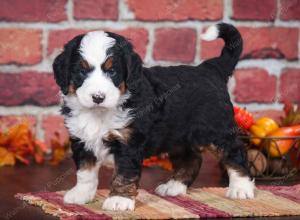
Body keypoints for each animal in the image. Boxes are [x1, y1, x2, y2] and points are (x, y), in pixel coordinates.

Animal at [52, 22, 254, 211]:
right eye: (81, 71)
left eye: (112, 71)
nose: (98, 97)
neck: (99, 113)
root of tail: (210, 68)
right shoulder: (81, 140)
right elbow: (85, 172)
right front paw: (81, 194)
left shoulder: (128, 142)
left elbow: (124, 173)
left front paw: (119, 200)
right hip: (178, 137)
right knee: (192, 159)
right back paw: (174, 186)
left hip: (216, 130)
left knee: (235, 152)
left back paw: (241, 188)